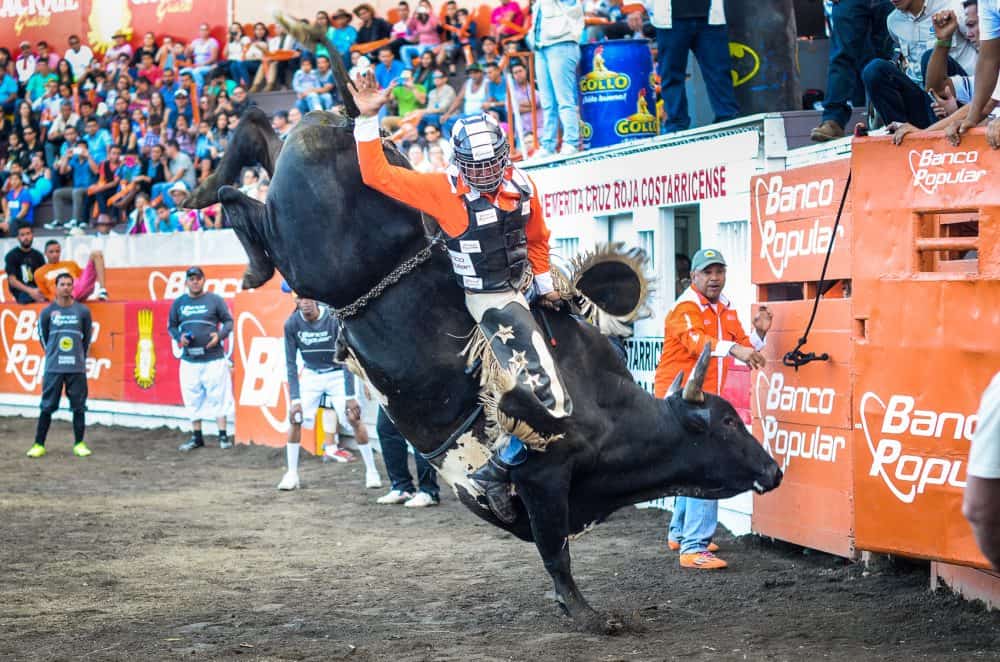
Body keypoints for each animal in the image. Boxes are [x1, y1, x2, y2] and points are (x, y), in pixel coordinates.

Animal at [191, 111, 784, 636]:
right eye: (728, 423)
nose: (774, 470)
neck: (613, 413)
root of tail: (339, 124)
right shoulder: (545, 480)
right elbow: (555, 553)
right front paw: (588, 616)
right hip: (305, 251)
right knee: (250, 206)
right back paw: (236, 240)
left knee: (259, 152)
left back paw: (214, 197)